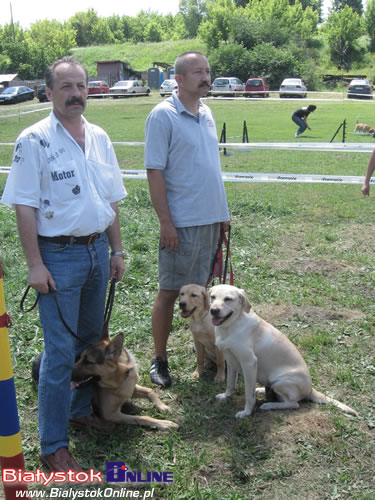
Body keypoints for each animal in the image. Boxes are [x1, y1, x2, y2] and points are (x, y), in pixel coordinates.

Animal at [210, 286, 360, 418]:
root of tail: (311, 389)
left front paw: (246, 412)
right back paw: (261, 390)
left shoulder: (249, 363)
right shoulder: (231, 361)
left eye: (228, 299)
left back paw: (268, 405)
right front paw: (226, 396)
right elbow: (230, 383)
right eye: (212, 297)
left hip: (280, 381)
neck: (230, 327)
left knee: (293, 404)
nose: (213, 310)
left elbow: (248, 394)